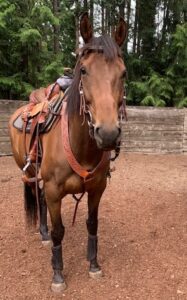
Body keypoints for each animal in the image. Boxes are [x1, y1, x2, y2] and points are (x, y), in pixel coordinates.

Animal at [8, 12, 127, 292]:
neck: (79, 145)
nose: (107, 134)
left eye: (124, 73)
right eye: (83, 70)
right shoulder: (54, 191)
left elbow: (92, 224)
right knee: (37, 197)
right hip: (30, 172)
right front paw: (58, 274)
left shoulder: (97, 189)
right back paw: (42, 233)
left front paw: (93, 264)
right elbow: (58, 231)